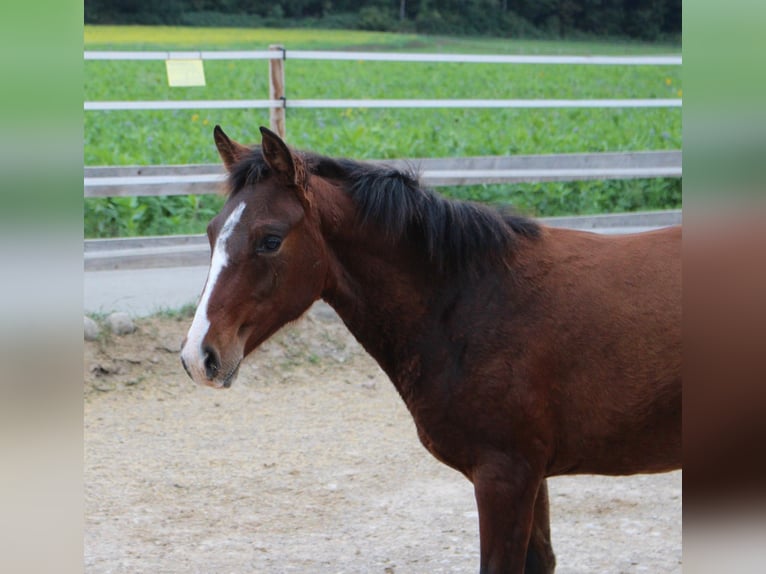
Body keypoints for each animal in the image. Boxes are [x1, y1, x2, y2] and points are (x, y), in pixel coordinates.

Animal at [182, 127, 684, 574]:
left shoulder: (506, 476)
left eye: (270, 240)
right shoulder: (532, 476)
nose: (198, 357)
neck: (473, 301)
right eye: (211, 232)